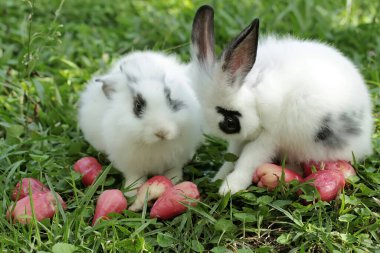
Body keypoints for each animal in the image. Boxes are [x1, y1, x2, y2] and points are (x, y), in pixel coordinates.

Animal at [78, 51, 203, 196]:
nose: (162, 132)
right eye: (137, 106)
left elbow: (174, 170)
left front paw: (175, 181)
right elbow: (135, 177)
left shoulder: (177, 159)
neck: (156, 145)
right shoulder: (130, 164)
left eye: (169, 98)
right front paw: (131, 192)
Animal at [189, 5, 372, 196]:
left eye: (230, 122)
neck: (256, 94)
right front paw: (218, 178)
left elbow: (249, 158)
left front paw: (230, 187)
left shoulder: (270, 136)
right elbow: (231, 156)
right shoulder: (241, 139)